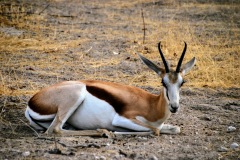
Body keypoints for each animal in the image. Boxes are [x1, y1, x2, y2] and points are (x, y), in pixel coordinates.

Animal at [25, 41, 196, 136]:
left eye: (182, 82)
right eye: (163, 82)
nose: (174, 107)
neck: (152, 105)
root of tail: (32, 101)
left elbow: (173, 129)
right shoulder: (123, 118)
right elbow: (155, 130)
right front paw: (114, 132)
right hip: (76, 94)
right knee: (55, 130)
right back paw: (103, 132)